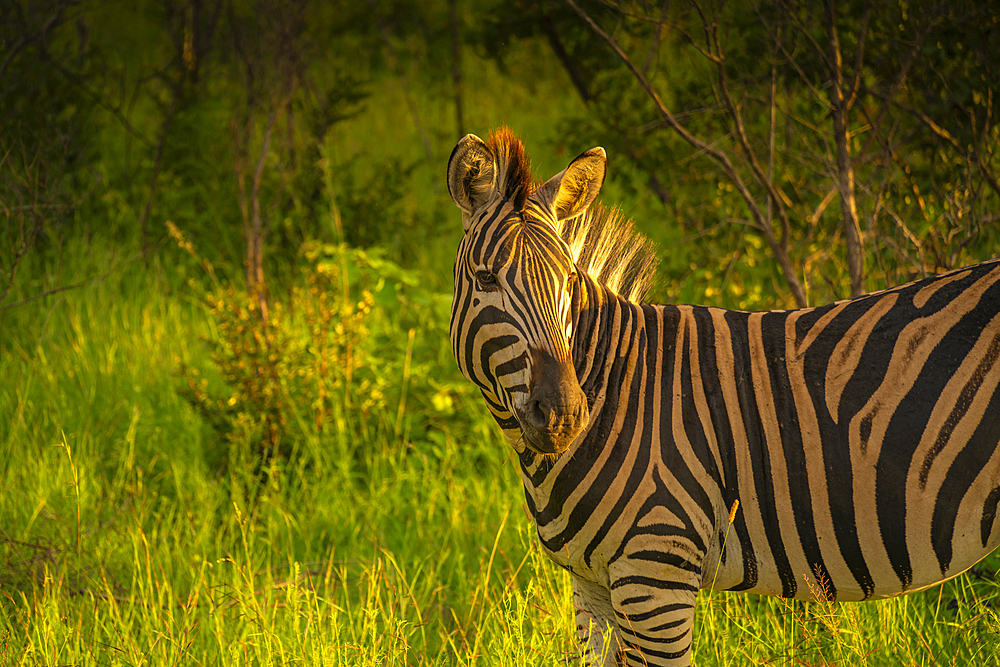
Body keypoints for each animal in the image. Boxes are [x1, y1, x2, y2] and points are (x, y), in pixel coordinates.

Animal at [446, 128, 1000, 664]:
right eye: (486, 278)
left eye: (568, 281)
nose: (563, 416)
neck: (616, 393)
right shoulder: (592, 586)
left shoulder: (656, 580)